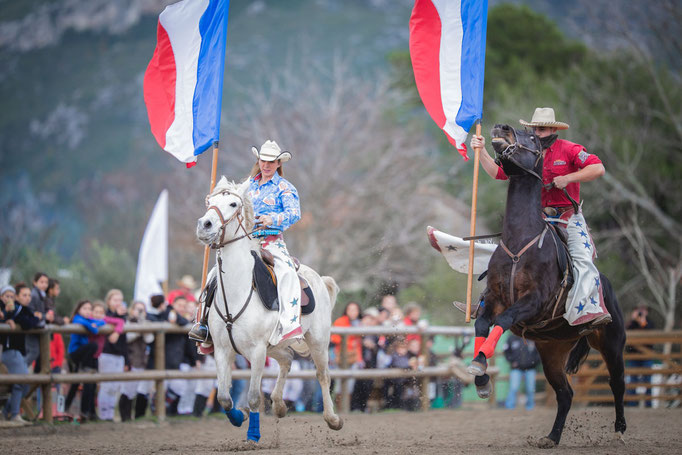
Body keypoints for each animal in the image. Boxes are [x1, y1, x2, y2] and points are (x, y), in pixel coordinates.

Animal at [194, 177, 342, 442]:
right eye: (209, 202)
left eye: (233, 204)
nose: (205, 225)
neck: (237, 290)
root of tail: (318, 278)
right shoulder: (222, 350)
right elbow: (224, 397)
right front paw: (238, 417)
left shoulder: (257, 351)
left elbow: (253, 397)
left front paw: (253, 434)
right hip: (276, 346)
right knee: (287, 360)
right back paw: (279, 405)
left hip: (318, 341)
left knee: (322, 375)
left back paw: (332, 419)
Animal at [464, 124, 624, 448]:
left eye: (532, 138)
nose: (501, 127)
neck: (519, 241)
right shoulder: (493, 298)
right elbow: (482, 325)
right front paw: (481, 374)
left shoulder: (534, 300)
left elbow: (505, 319)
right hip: (553, 350)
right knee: (565, 394)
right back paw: (551, 436)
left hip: (613, 342)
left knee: (617, 382)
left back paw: (620, 429)